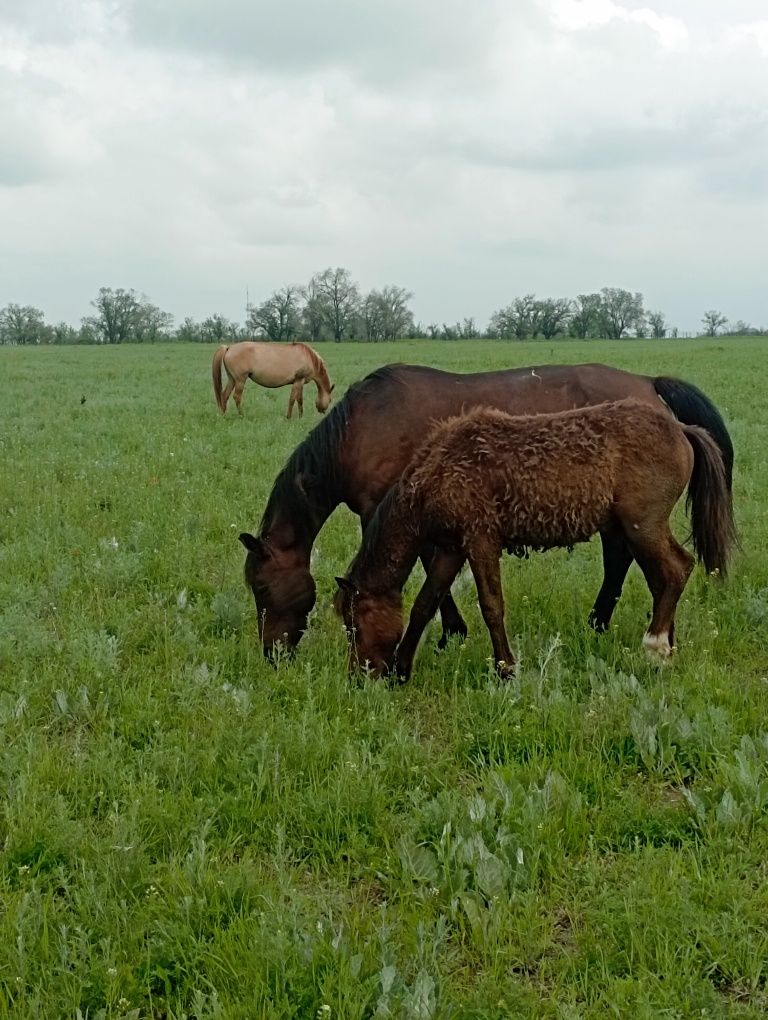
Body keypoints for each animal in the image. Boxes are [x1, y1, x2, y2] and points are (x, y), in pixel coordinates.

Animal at [238, 363, 730, 656]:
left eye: (261, 589)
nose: (272, 655)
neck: (359, 429)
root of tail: (649, 384)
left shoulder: (383, 509)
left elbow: (425, 570)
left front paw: (451, 630)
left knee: (629, 562)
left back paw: (620, 627)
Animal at [336, 401, 738, 681]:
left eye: (354, 624)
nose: (361, 674)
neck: (439, 470)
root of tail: (681, 428)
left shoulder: (480, 541)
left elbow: (491, 607)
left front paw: (506, 669)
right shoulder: (452, 549)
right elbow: (424, 604)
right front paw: (403, 670)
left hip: (644, 526)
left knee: (675, 571)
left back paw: (656, 647)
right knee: (666, 578)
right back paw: (668, 642)